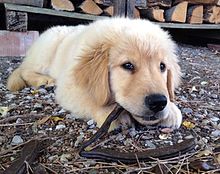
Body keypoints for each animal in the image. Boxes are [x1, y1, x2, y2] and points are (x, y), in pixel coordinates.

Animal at [6, 17, 182, 129]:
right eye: (127, 65)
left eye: (162, 66)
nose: (158, 102)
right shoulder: (69, 87)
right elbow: (90, 100)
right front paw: (111, 113)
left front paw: (172, 110)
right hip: (46, 50)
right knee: (26, 70)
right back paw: (44, 80)